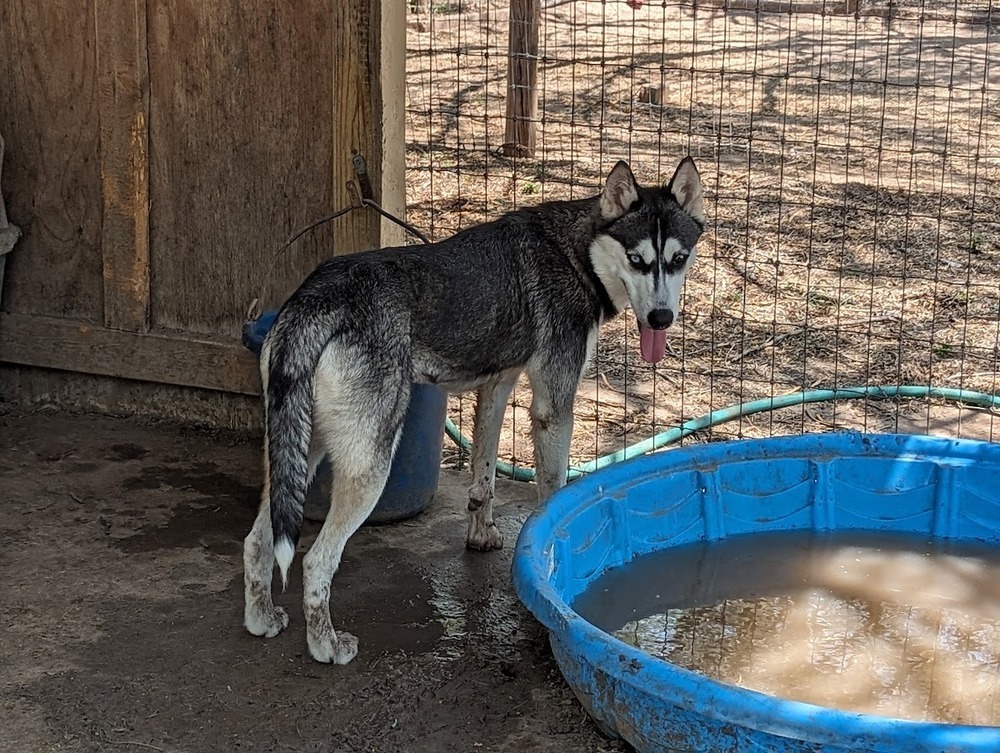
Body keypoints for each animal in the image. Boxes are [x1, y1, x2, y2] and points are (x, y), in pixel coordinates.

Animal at [246, 156, 708, 660]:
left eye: (678, 259)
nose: (661, 319)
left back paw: (261, 620)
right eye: (637, 260)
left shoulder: (496, 388)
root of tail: (314, 300)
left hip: (300, 455)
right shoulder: (553, 408)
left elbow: (482, 480)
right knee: (316, 560)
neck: (576, 253)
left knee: (257, 542)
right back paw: (326, 645)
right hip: (368, 468)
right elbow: (553, 490)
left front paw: (481, 536)